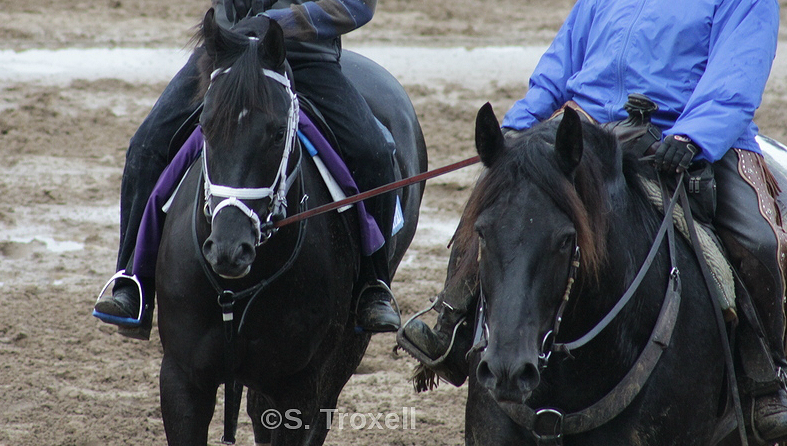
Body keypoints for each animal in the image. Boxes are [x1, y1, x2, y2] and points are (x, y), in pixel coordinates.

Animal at [154, 10, 427, 445]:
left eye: (278, 131)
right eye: (205, 125)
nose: (229, 249)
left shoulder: (297, 385)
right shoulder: (182, 379)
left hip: (346, 347)